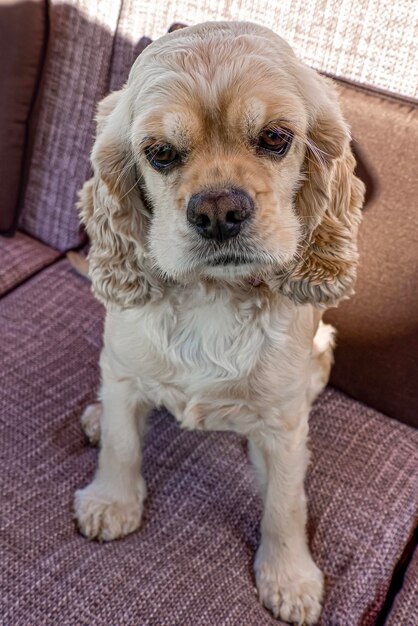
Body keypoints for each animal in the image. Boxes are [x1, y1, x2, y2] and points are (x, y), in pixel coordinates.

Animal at [73, 22, 364, 620]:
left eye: (276, 138)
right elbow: (121, 442)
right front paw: (112, 502)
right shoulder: (122, 369)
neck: (213, 295)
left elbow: (285, 502)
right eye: (160, 153)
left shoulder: (283, 418)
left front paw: (289, 578)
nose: (218, 212)